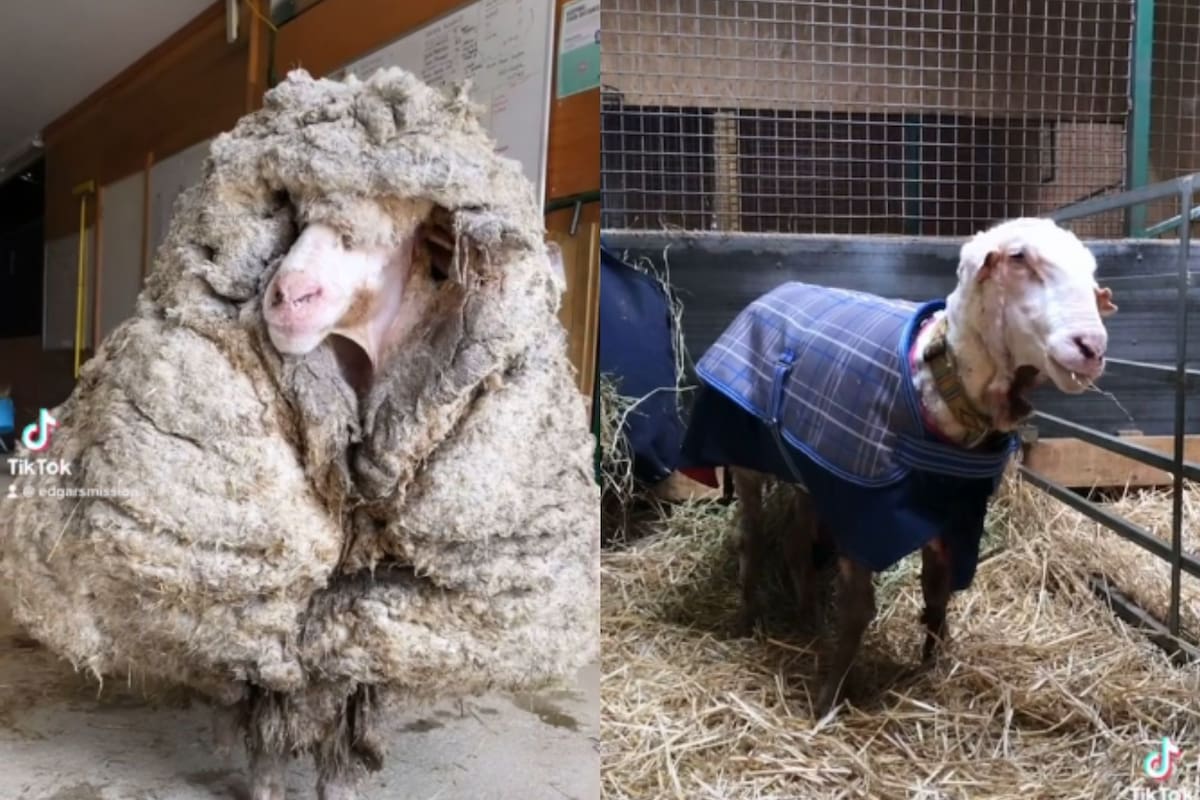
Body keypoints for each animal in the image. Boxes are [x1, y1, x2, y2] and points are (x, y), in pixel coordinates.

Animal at [0, 68, 598, 799]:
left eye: (381, 229)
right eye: (298, 218)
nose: (286, 295)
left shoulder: (370, 614)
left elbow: (345, 689)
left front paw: (337, 782)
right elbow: (270, 687)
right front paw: (265, 780)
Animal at [681, 218, 1117, 714]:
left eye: (1092, 274)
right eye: (1019, 258)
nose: (1091, 346)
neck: (937, 383)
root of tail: (773, 292)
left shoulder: (955, 513)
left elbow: (937, 592)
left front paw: (935, 663)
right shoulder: (865, 512)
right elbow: (858, 609)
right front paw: (828, 700)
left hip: (809, 473)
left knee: (794, 543)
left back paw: (809, 619)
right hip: (748, 459)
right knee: (750, 537)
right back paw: (747, 617)